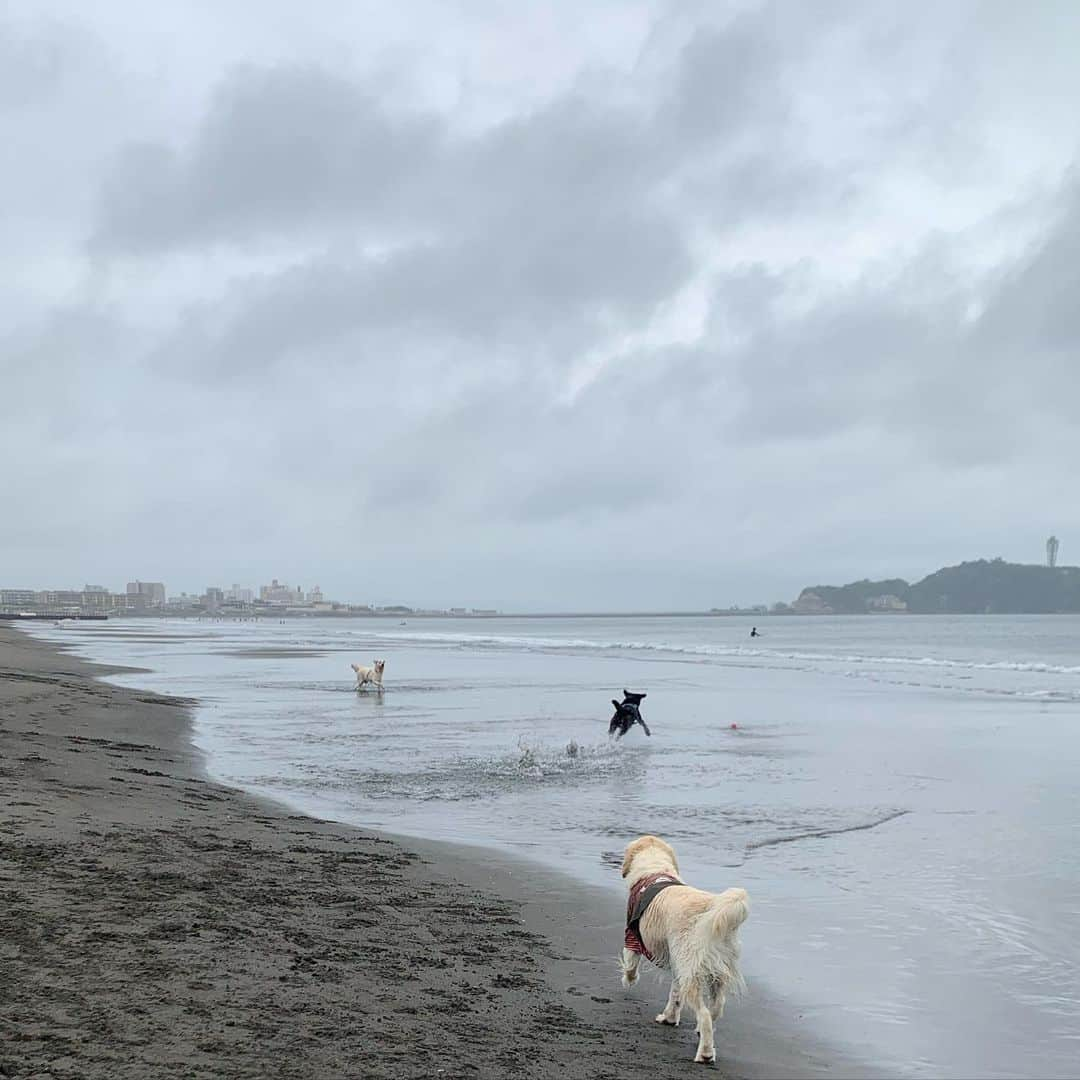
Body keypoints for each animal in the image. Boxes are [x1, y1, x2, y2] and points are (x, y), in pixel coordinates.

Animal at [622, 833, 747, 1062]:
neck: (655, 868)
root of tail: (712, 909)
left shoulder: (632, 934)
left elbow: (630, 964)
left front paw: (630, 980)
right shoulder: (677, 962)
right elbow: (675, 994)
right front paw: (669, 1018)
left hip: (692, 968)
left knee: (705, 1014)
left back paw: (705, 1053)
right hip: (714, 967)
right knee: (717, 1007)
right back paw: (702, 1031)